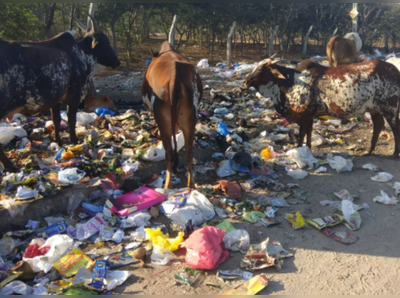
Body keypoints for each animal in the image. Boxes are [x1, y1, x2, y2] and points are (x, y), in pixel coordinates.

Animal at [0, 15, 119, 171]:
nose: (117, 62)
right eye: (105, 41)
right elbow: (71, 119)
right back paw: (10, 166)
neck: (82, 53)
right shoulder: (74, 95)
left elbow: (56, 120)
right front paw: (74, 141)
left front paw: (58, 141)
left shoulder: (55, 100)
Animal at [141, 40, 203, 189]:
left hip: (163, 119)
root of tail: (174, 77)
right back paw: (191, 184)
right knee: (188, 152)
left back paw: (167, 185)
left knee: (169, 153)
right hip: (190, 118)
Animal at [244, 58, 400, 156]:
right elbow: (309, 133)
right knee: (378, 126)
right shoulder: (310, 116)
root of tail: (394, 69)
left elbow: (302, 134)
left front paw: (299, 150)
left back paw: (395, 153)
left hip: (390, 109)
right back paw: (369, 151)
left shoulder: (305, 115)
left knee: (394, 127)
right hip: (375, 110)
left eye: (261, 70)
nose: (246, 81)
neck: (290, 82)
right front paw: (307, 149)